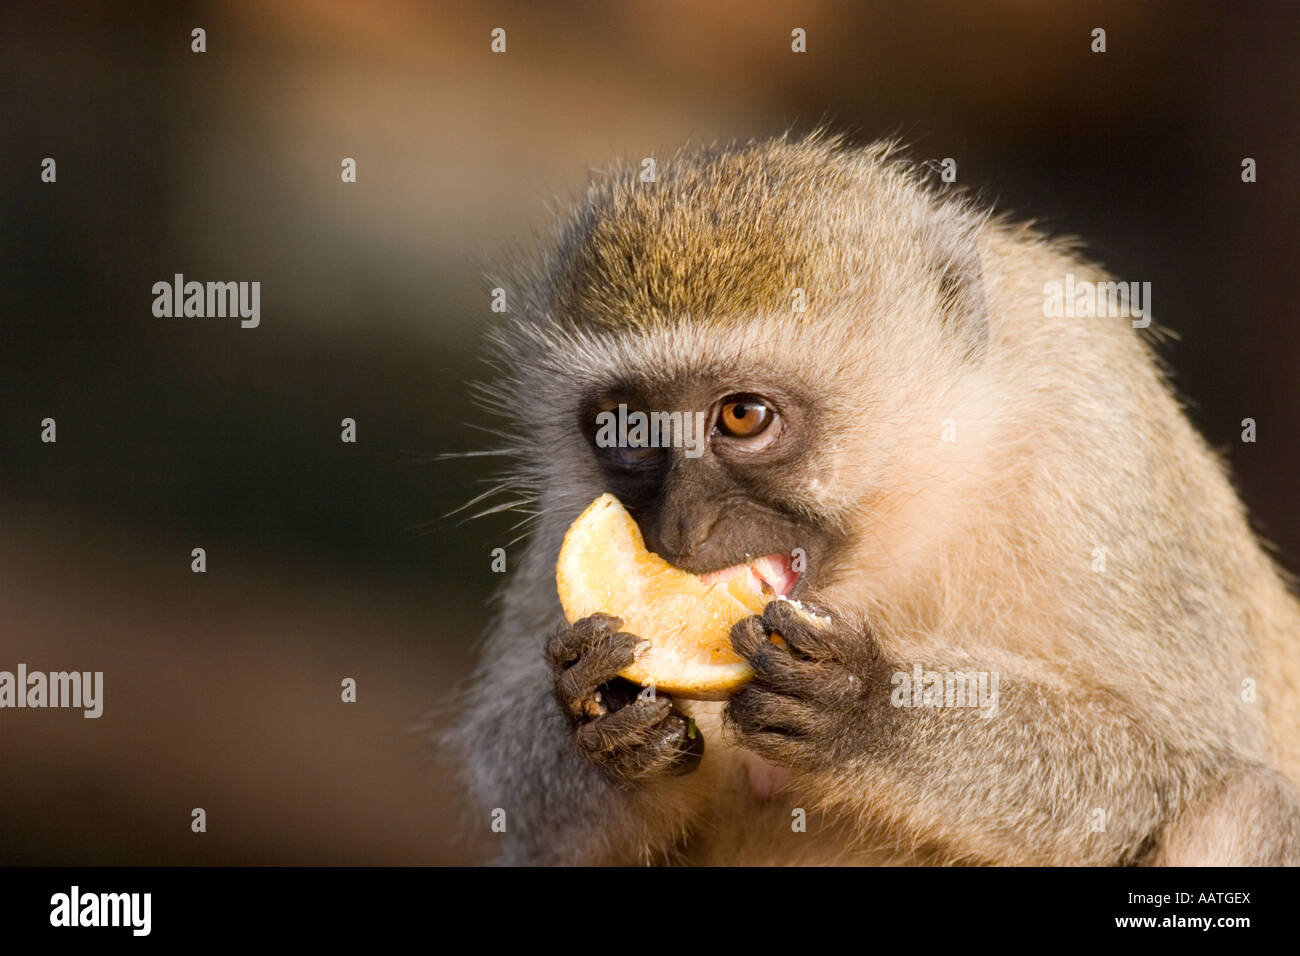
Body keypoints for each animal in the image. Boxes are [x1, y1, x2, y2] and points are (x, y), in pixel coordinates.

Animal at [443, 132, 1300, 866]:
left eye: (742, 416)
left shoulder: (1097, 432)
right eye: (628, 427)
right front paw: (601, 705)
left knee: (1246, 808)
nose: (682, 530)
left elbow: (1180, 765)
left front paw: (869, 709)